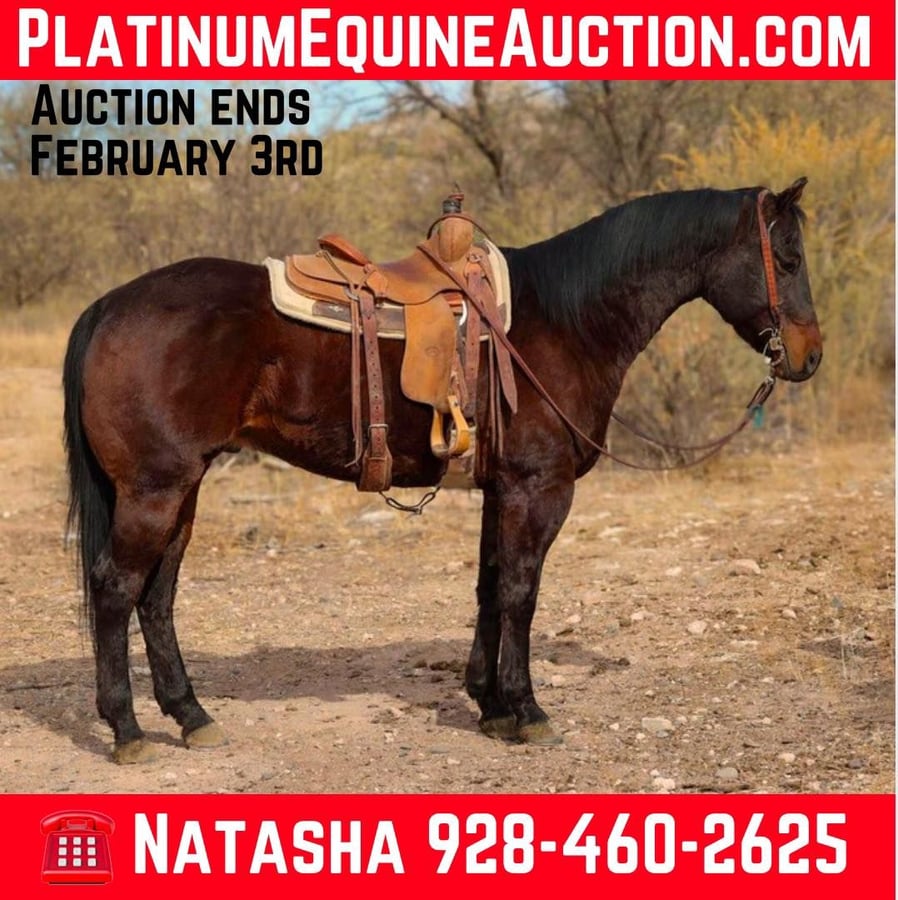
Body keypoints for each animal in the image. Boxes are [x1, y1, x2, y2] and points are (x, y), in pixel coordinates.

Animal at [62, 178, 822, 763]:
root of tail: (110, 304)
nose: (808, 356)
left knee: (157, 597)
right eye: (786, 258)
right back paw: (127, 729)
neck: (567, 321)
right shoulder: (537, 489)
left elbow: (489, 587)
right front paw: (526, 711)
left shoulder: (500, 490)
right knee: (116, 590)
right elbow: (520, 592)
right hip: (155, 492)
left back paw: (191, 716)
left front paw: (489, 705)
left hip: (182, 490)